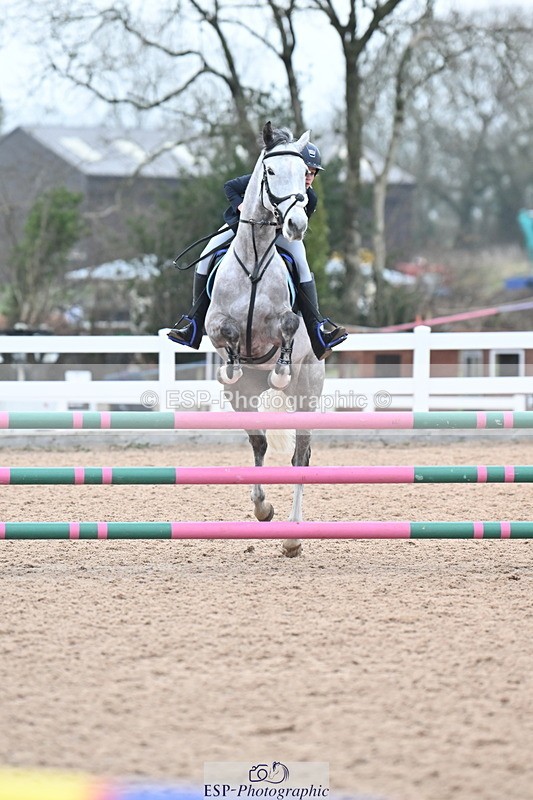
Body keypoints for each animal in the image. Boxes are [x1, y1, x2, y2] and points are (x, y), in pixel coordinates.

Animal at [205, 122, 325, 557]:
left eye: (305, 175)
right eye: (271, 172)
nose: (296, 226)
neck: (256, 258)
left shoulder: (285, 323)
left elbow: (287, 325)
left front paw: (279, 371)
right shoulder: (214, 325)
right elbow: (226, 332)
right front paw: (232, 361)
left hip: (309, 390)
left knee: (301, 454)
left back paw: (292, 536)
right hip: (242, 400)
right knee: (258, 442)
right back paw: (263, 509)